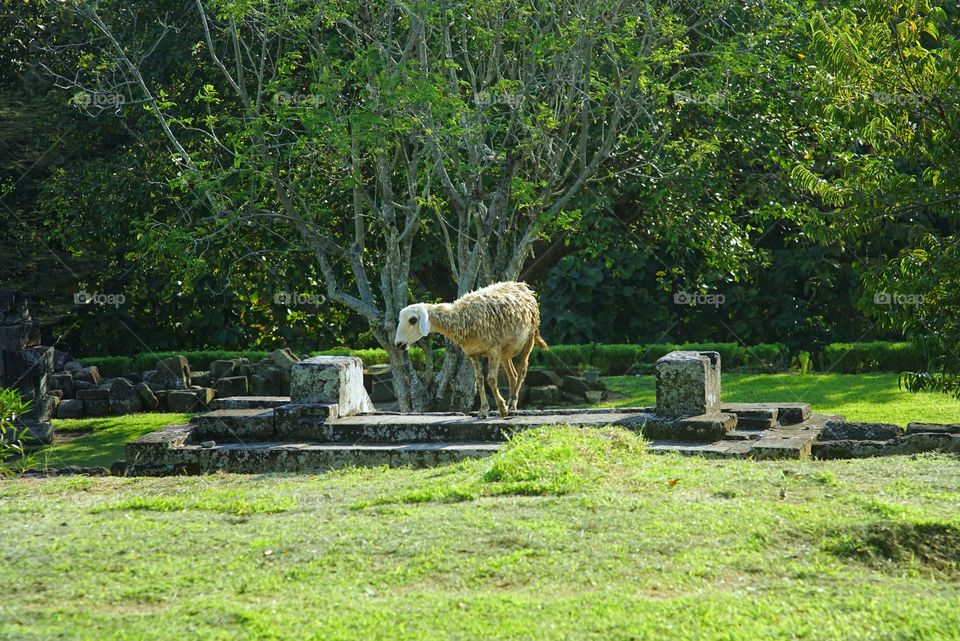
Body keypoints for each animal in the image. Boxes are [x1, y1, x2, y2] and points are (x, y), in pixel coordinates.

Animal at [394, 281, 548, 418]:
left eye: (413, 320)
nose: (398, 344)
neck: (460, 319)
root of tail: (522, 286)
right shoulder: (473, 354)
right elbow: (479, 380)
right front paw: (483, 411)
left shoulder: (493, 349)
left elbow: (491, 379)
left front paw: (502, 409)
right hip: (506, 350)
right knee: (512, 375)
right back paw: (512, 404)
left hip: (529, 337)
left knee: (522, 370)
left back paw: (512, 404)